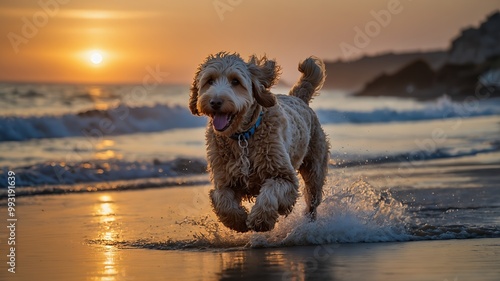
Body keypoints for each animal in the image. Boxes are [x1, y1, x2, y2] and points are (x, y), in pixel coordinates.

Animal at [189, 51, 330, 231]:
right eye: (210, 81)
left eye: (236, 81)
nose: (215, 102)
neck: (242, 136)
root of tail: (298, 98)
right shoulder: (225, 180)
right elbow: (223, 201)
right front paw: (238, 221)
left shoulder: (284, 177)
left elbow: (270, 192)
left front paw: (261, 219)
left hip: (315, 169)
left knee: (312, 200)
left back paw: (309, 224)